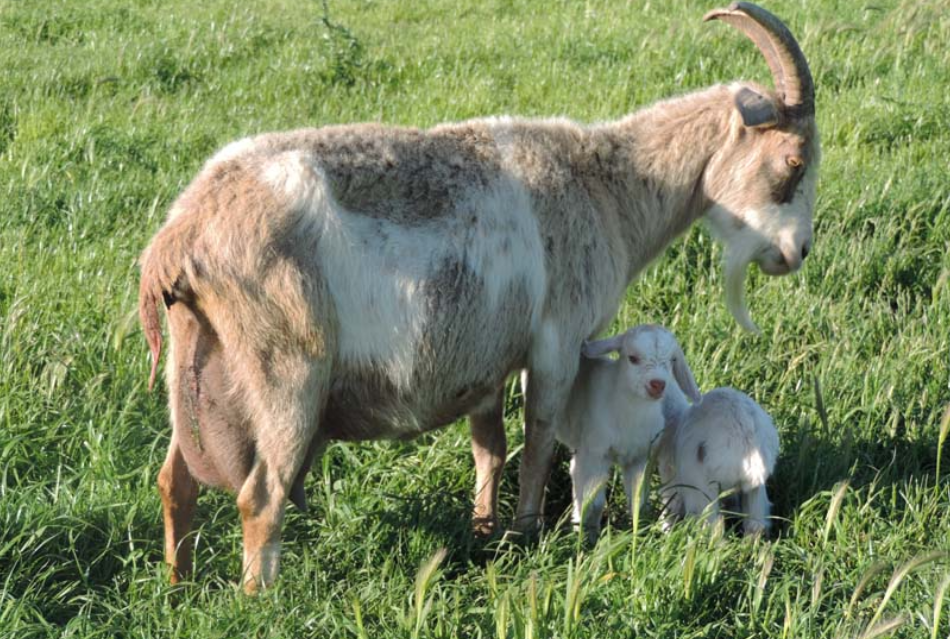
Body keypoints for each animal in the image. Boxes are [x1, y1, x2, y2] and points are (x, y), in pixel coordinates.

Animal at [555, 325, 701, 541]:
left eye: (672, 360)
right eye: (632, 358)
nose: (658, 384)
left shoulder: (639, 458)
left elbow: (638, 499)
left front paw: (637, 533)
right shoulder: (593, 454)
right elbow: (592, 503)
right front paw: (586, 538)